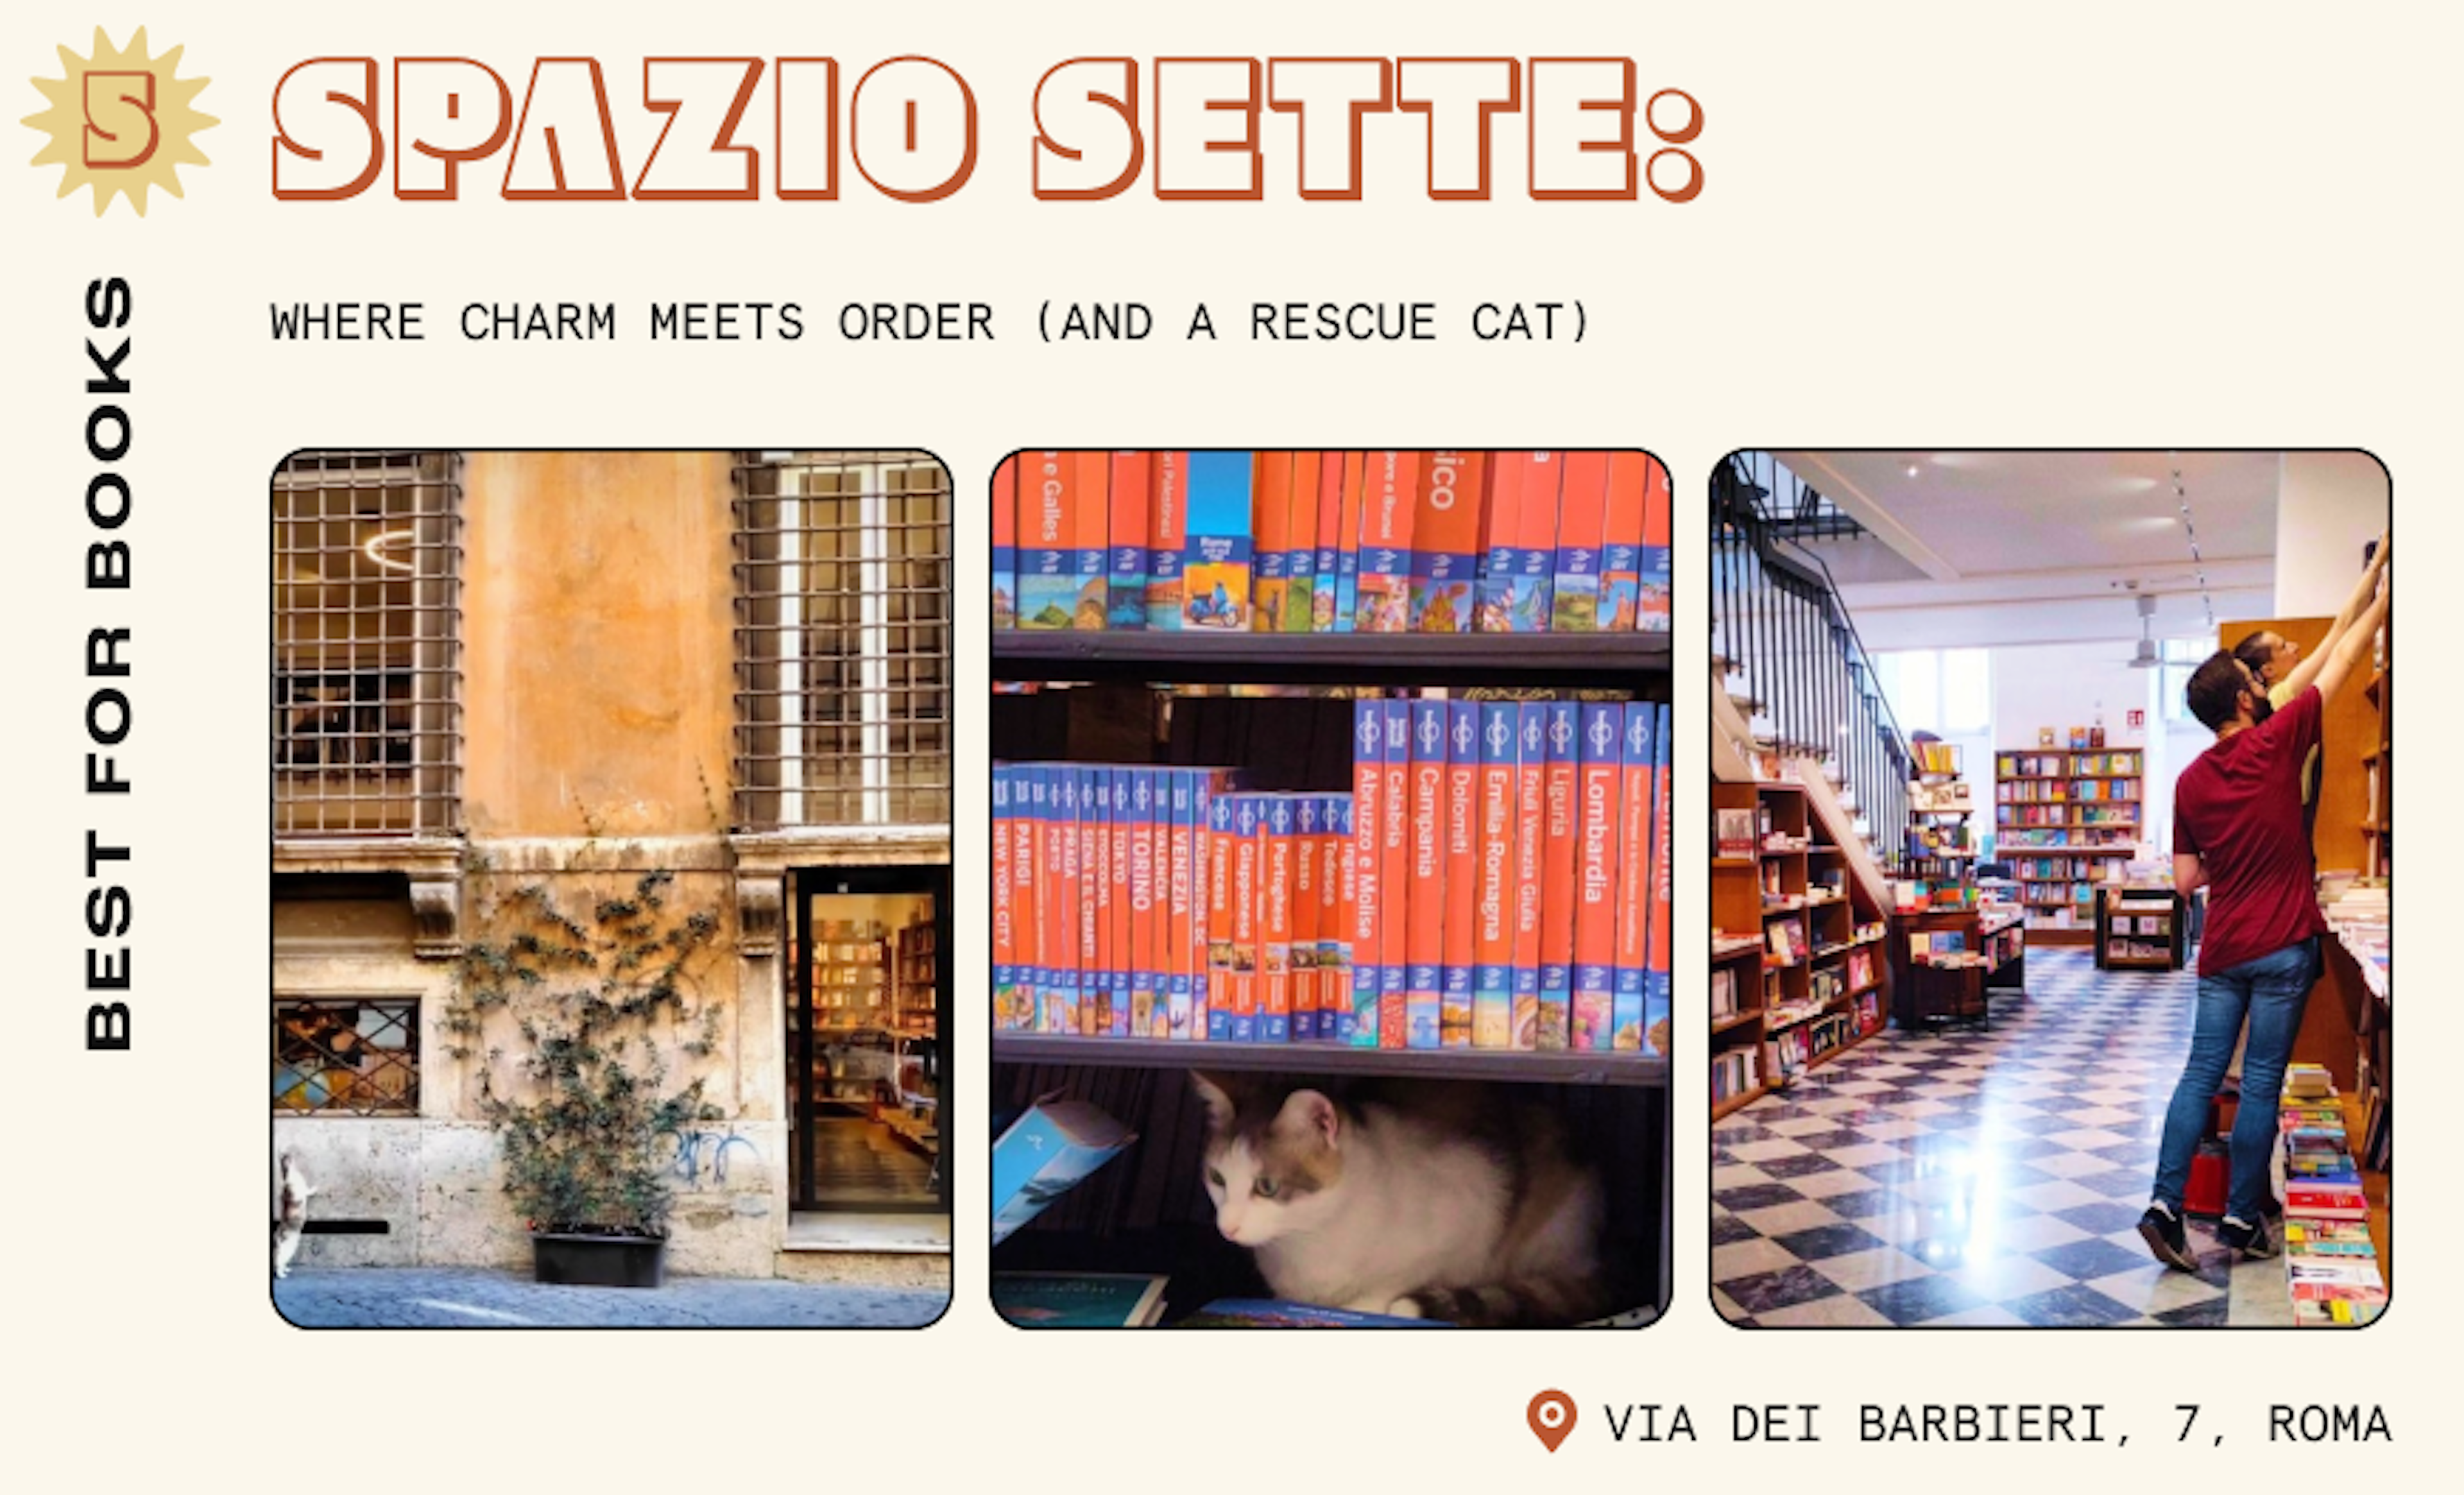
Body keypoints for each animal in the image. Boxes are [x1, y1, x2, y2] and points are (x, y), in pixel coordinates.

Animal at [272, 1152, 315, 1281]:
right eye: (286, 1157)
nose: (288, 1154)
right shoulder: (295, 1193)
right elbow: (301, 1194)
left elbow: (308, 1191)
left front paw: (314, 1189)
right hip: (284, 1252)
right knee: (278, 1265)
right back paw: (282, 1275)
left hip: (290, 1252)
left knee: (282, 1264)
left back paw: (287, 1269)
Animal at [1197, 1068, 1616, 1329]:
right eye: (1217, 1178)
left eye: (1266, 1186)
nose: (1226, 1227)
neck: (1308, 1240)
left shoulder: (1471, 1216)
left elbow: (1387, 1289)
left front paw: (1370, 1309)